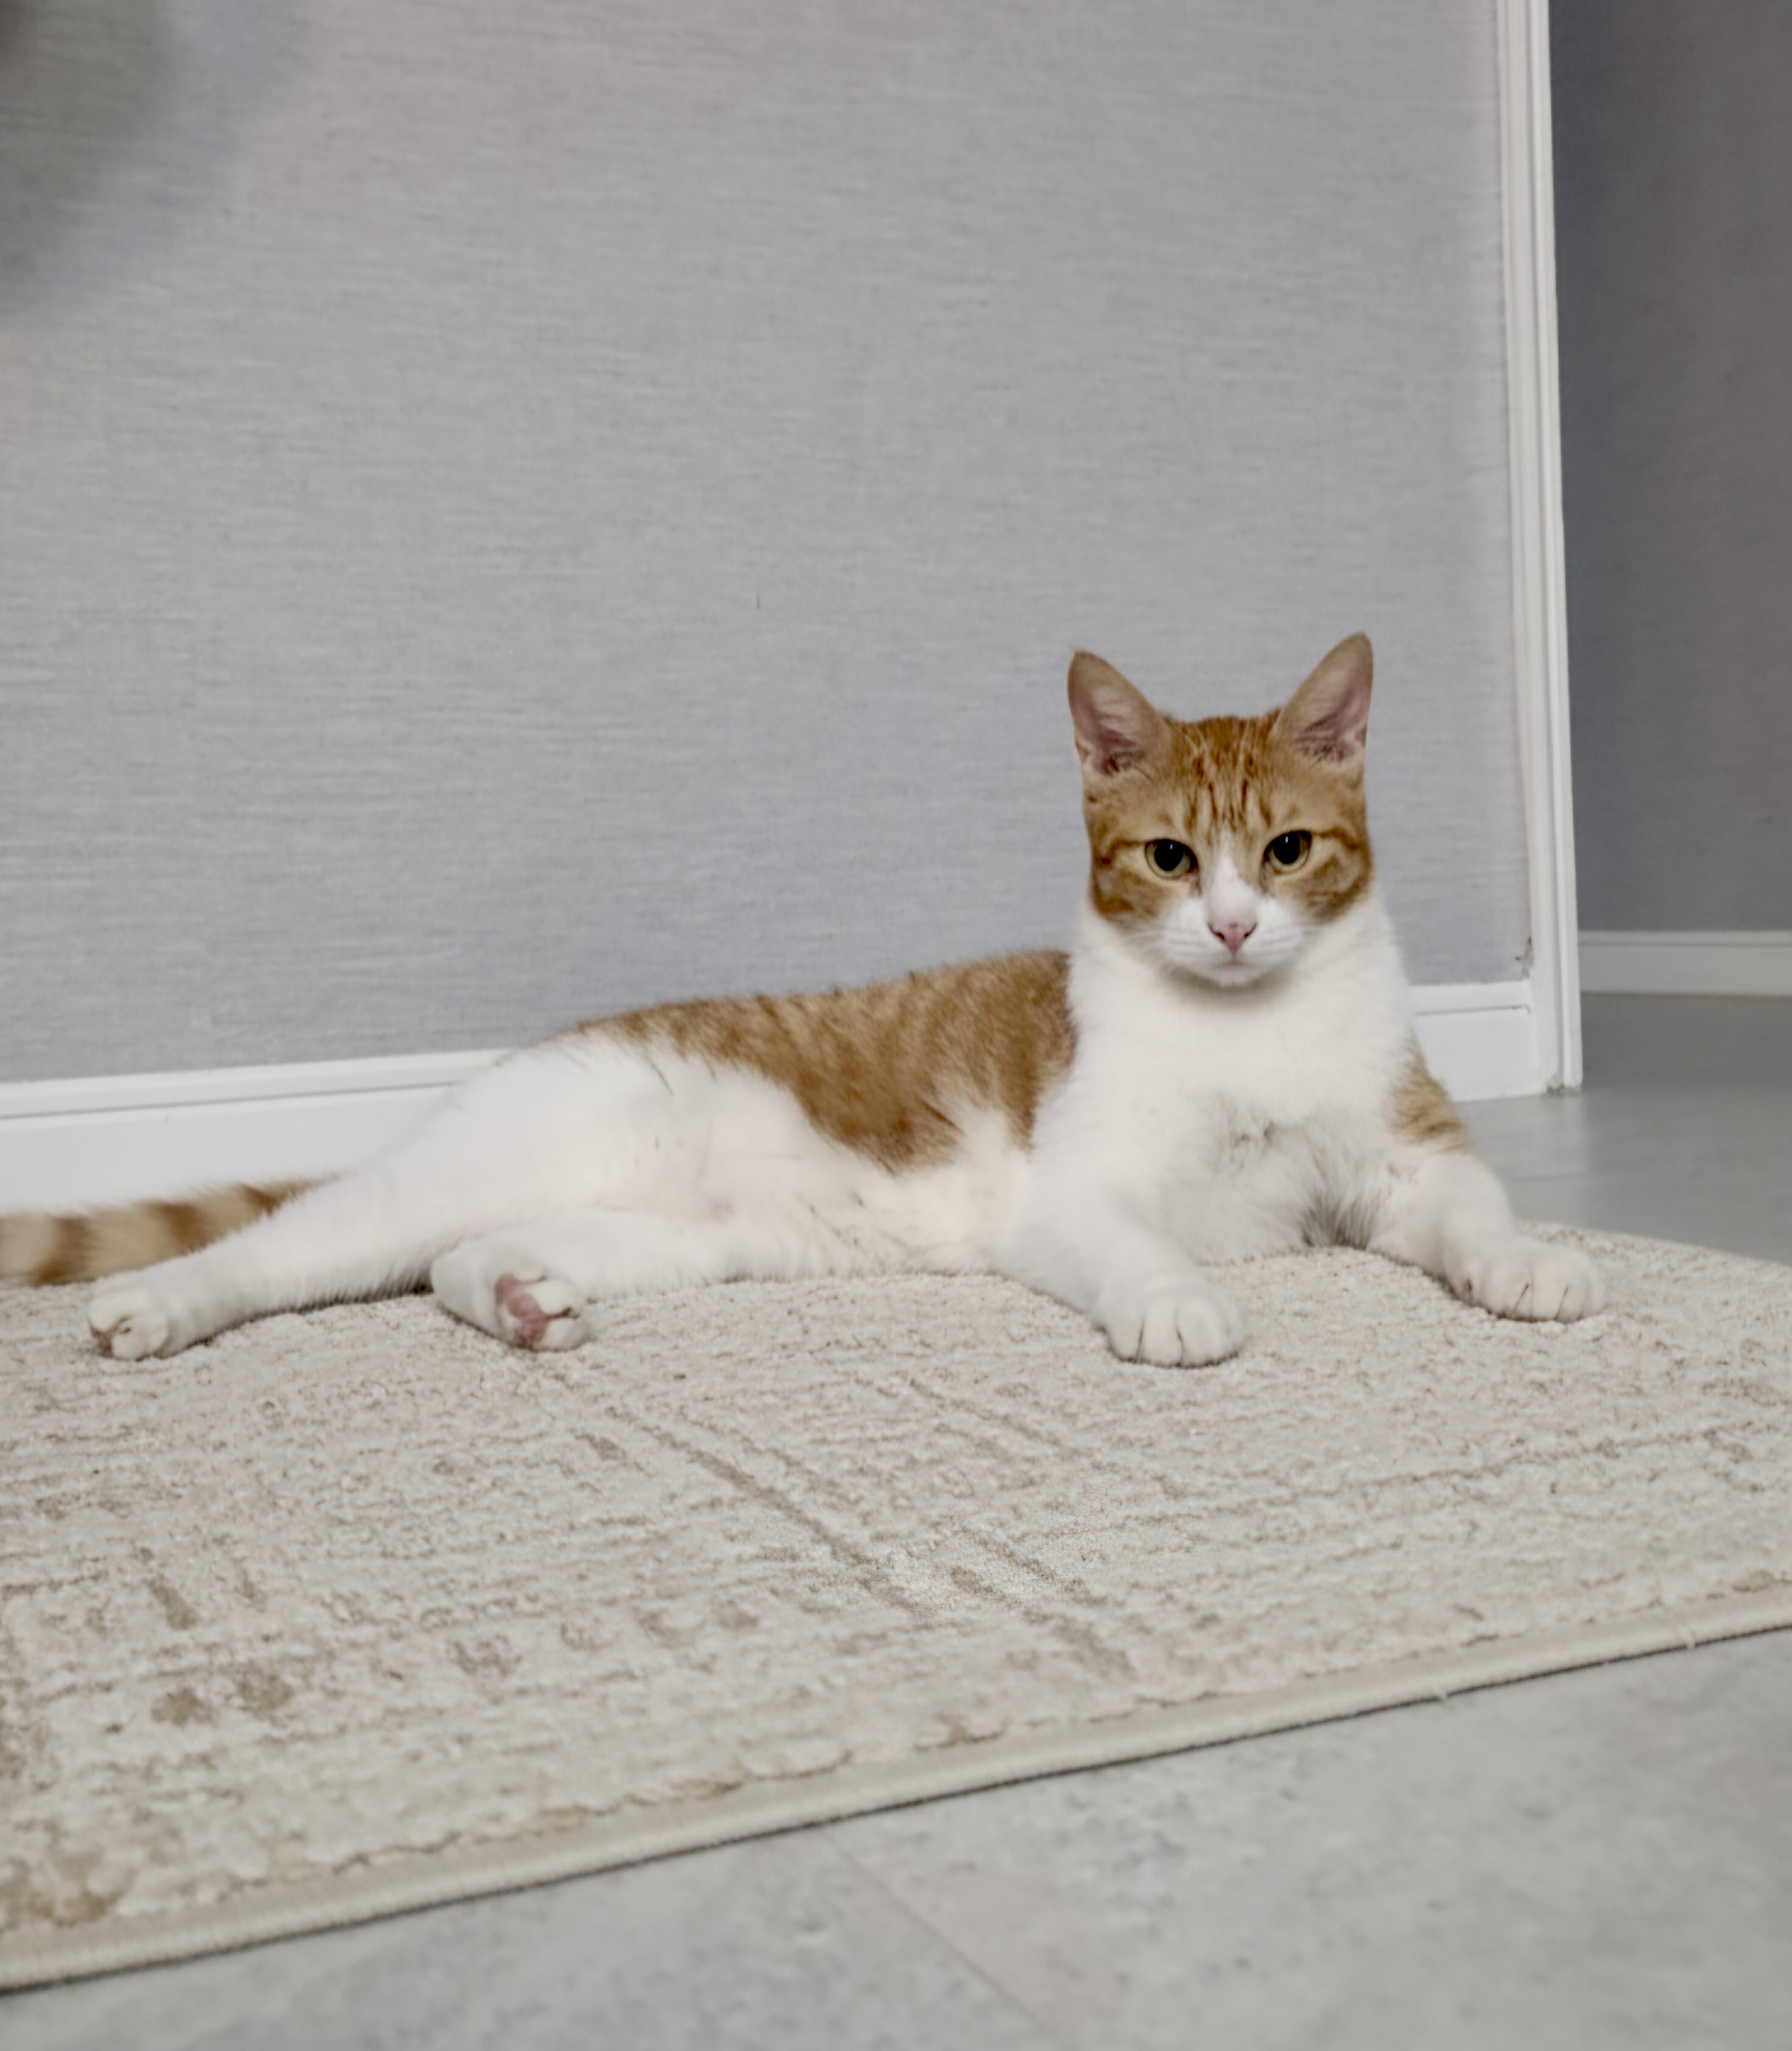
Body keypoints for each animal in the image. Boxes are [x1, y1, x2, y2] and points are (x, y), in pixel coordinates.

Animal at [0, 633, 1602, 1363]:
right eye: (1167, 857)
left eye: (1282, 851)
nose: (1225, 924)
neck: (1248, 1033)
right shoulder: (1081, 1188)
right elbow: (1138, 1246)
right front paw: (1174, 1301)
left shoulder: (1400, 1159)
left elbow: (1470, 1214)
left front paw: (1529, 1265)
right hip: (458, 1170)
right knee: (286, 1249)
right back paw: (159, 1303)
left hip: (663, 1237)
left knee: (452, 1258)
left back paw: (514, 1295)